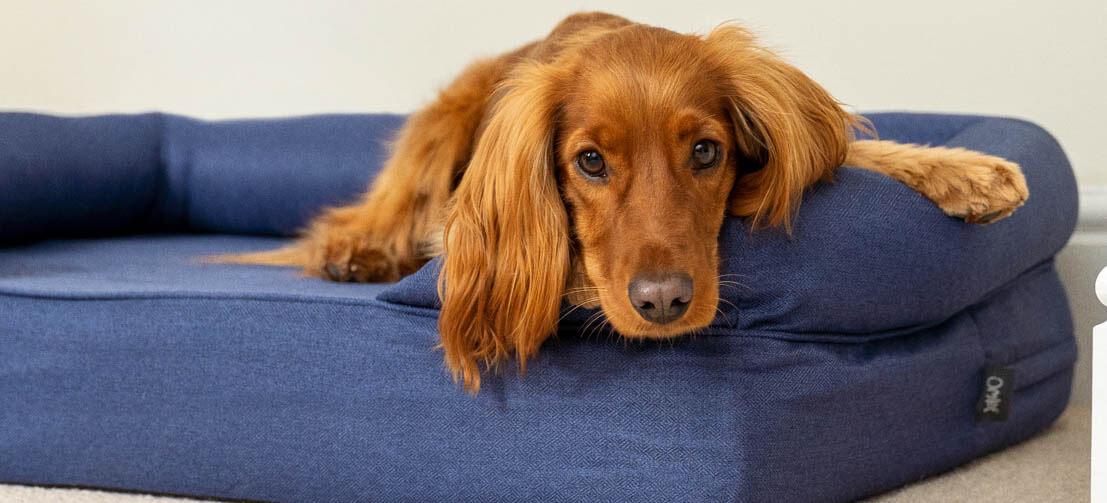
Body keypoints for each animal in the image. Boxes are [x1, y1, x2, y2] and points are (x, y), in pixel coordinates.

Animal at [218, 12, 1027, 392]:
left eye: (705, 152)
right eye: (589, 162)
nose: (663, 302)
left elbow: (846, 149)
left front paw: (965, 170)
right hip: (443, 121)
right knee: (366, 216)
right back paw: (355, 250)